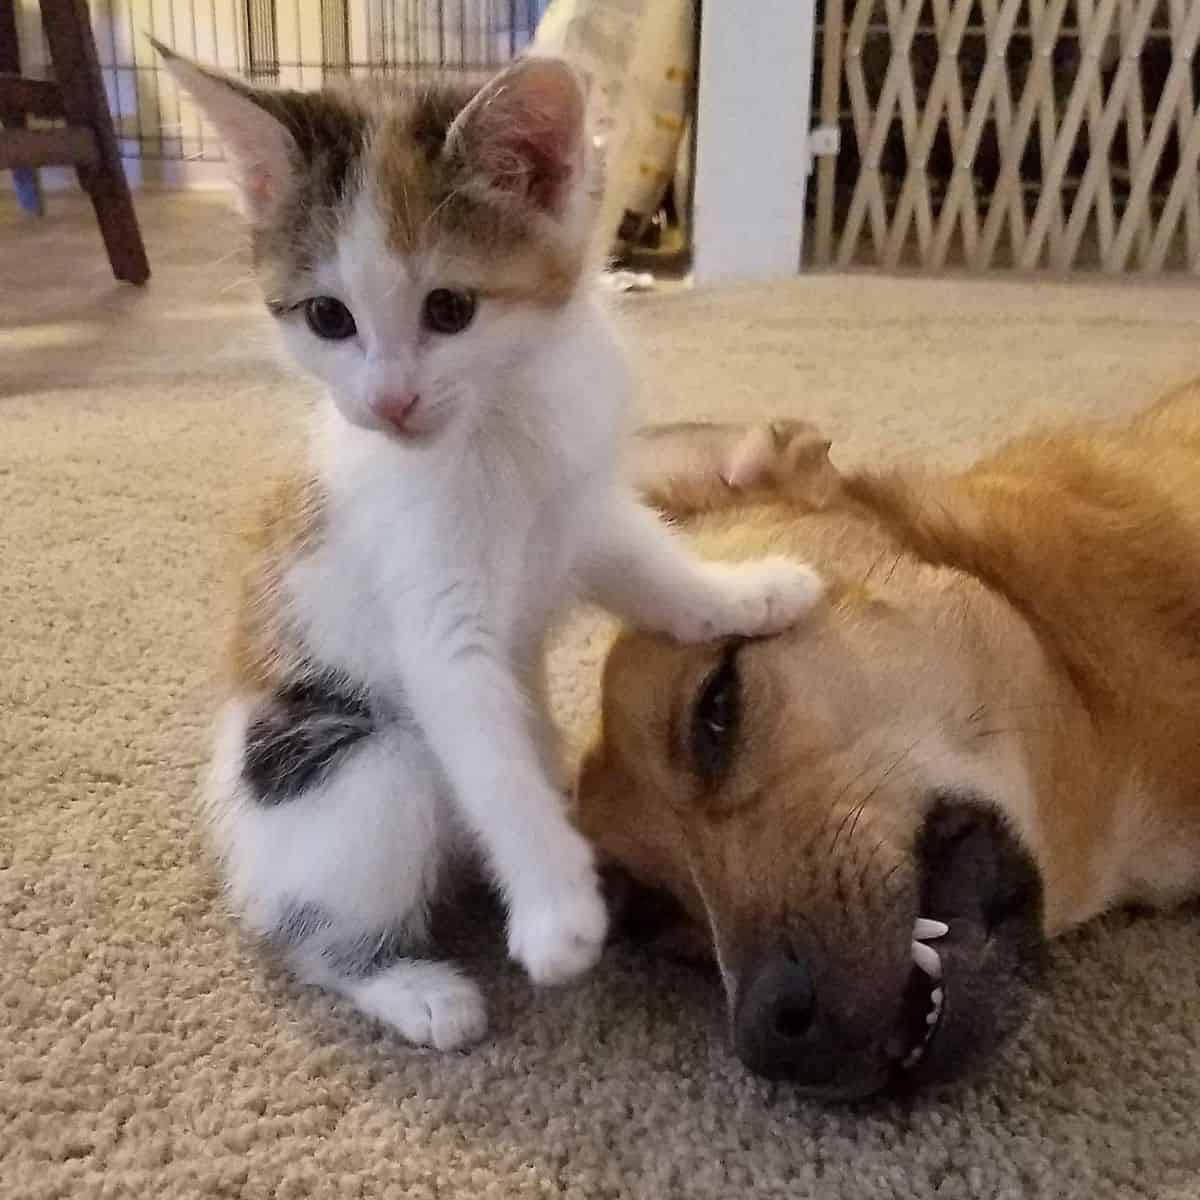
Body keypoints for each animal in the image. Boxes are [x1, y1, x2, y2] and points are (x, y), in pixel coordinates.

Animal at [157, 42, 825, 1046]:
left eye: (450, 308)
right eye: (327, 318)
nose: (390, 403)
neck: (500, 425)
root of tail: (239, 844)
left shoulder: (584, 513)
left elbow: (653, 564)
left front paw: (752, 593)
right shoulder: (432, 606)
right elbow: (484, 746)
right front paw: (556, 911)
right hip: (361, 763)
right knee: (308, 932)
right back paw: (410, 986)